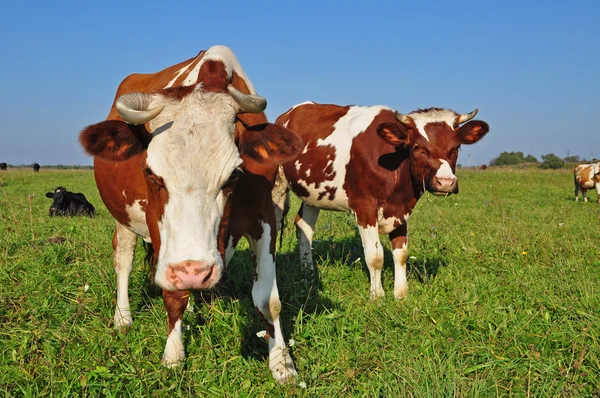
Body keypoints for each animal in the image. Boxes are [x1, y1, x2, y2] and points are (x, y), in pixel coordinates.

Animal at [79, 45, 302, 384]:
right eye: (151, 172)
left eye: (233, 174)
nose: (193, 272)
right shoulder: (156, 225)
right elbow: (172, 295)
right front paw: (173, 355)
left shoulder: (265, 217)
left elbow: (268, 299)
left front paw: (281, 362)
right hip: (124, 220)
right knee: (124, 261)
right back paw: (123, 317)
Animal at [274, 102, 490, 298]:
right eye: (417, 147)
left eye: (456, 148)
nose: (445, 182)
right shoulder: (365, 208)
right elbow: (375, 256)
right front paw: (377, 296)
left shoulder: (401, 208)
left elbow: (401, 254)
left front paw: (401, 295)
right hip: (278, 187)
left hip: (313, 193)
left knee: (304, 227)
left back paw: (308, 274)